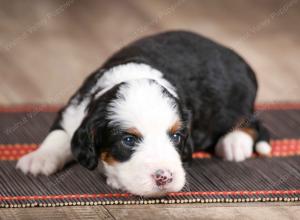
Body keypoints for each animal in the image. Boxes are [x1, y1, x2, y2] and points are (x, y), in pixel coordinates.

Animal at [16, 30, 272, 196]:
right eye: (128, 140)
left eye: (176, 137)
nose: (164, 177)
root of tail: (236, 56)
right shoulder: (73, 109)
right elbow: (59, 135)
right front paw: (39, 158)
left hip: (235, 102)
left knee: (253, 122)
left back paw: (234, 143)